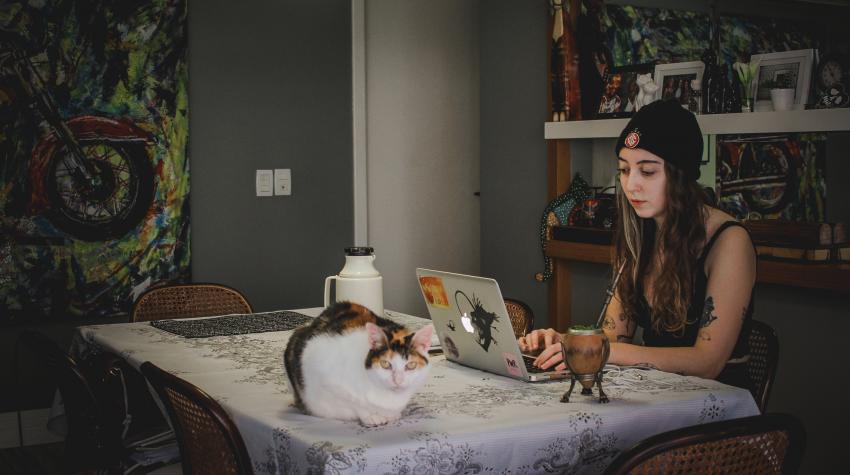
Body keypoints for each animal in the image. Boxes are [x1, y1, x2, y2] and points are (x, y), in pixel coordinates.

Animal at [284, 304, 434, 426]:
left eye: (411, 365)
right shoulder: (323, 373)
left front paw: (393, 414)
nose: (398, 380)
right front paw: (371, 416)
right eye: (385, 364)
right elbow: (354, 402)